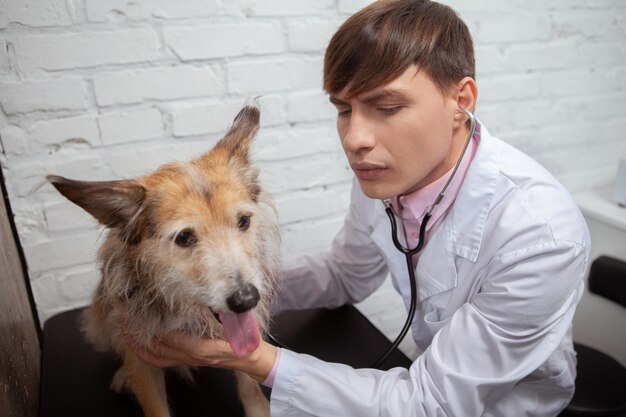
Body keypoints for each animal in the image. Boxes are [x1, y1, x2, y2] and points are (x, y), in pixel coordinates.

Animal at [48, 103, 280, 416]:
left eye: (243, 221)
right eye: (184, 238)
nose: (246, 299)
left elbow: (250, 384)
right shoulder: (141, 357)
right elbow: (153, 402)